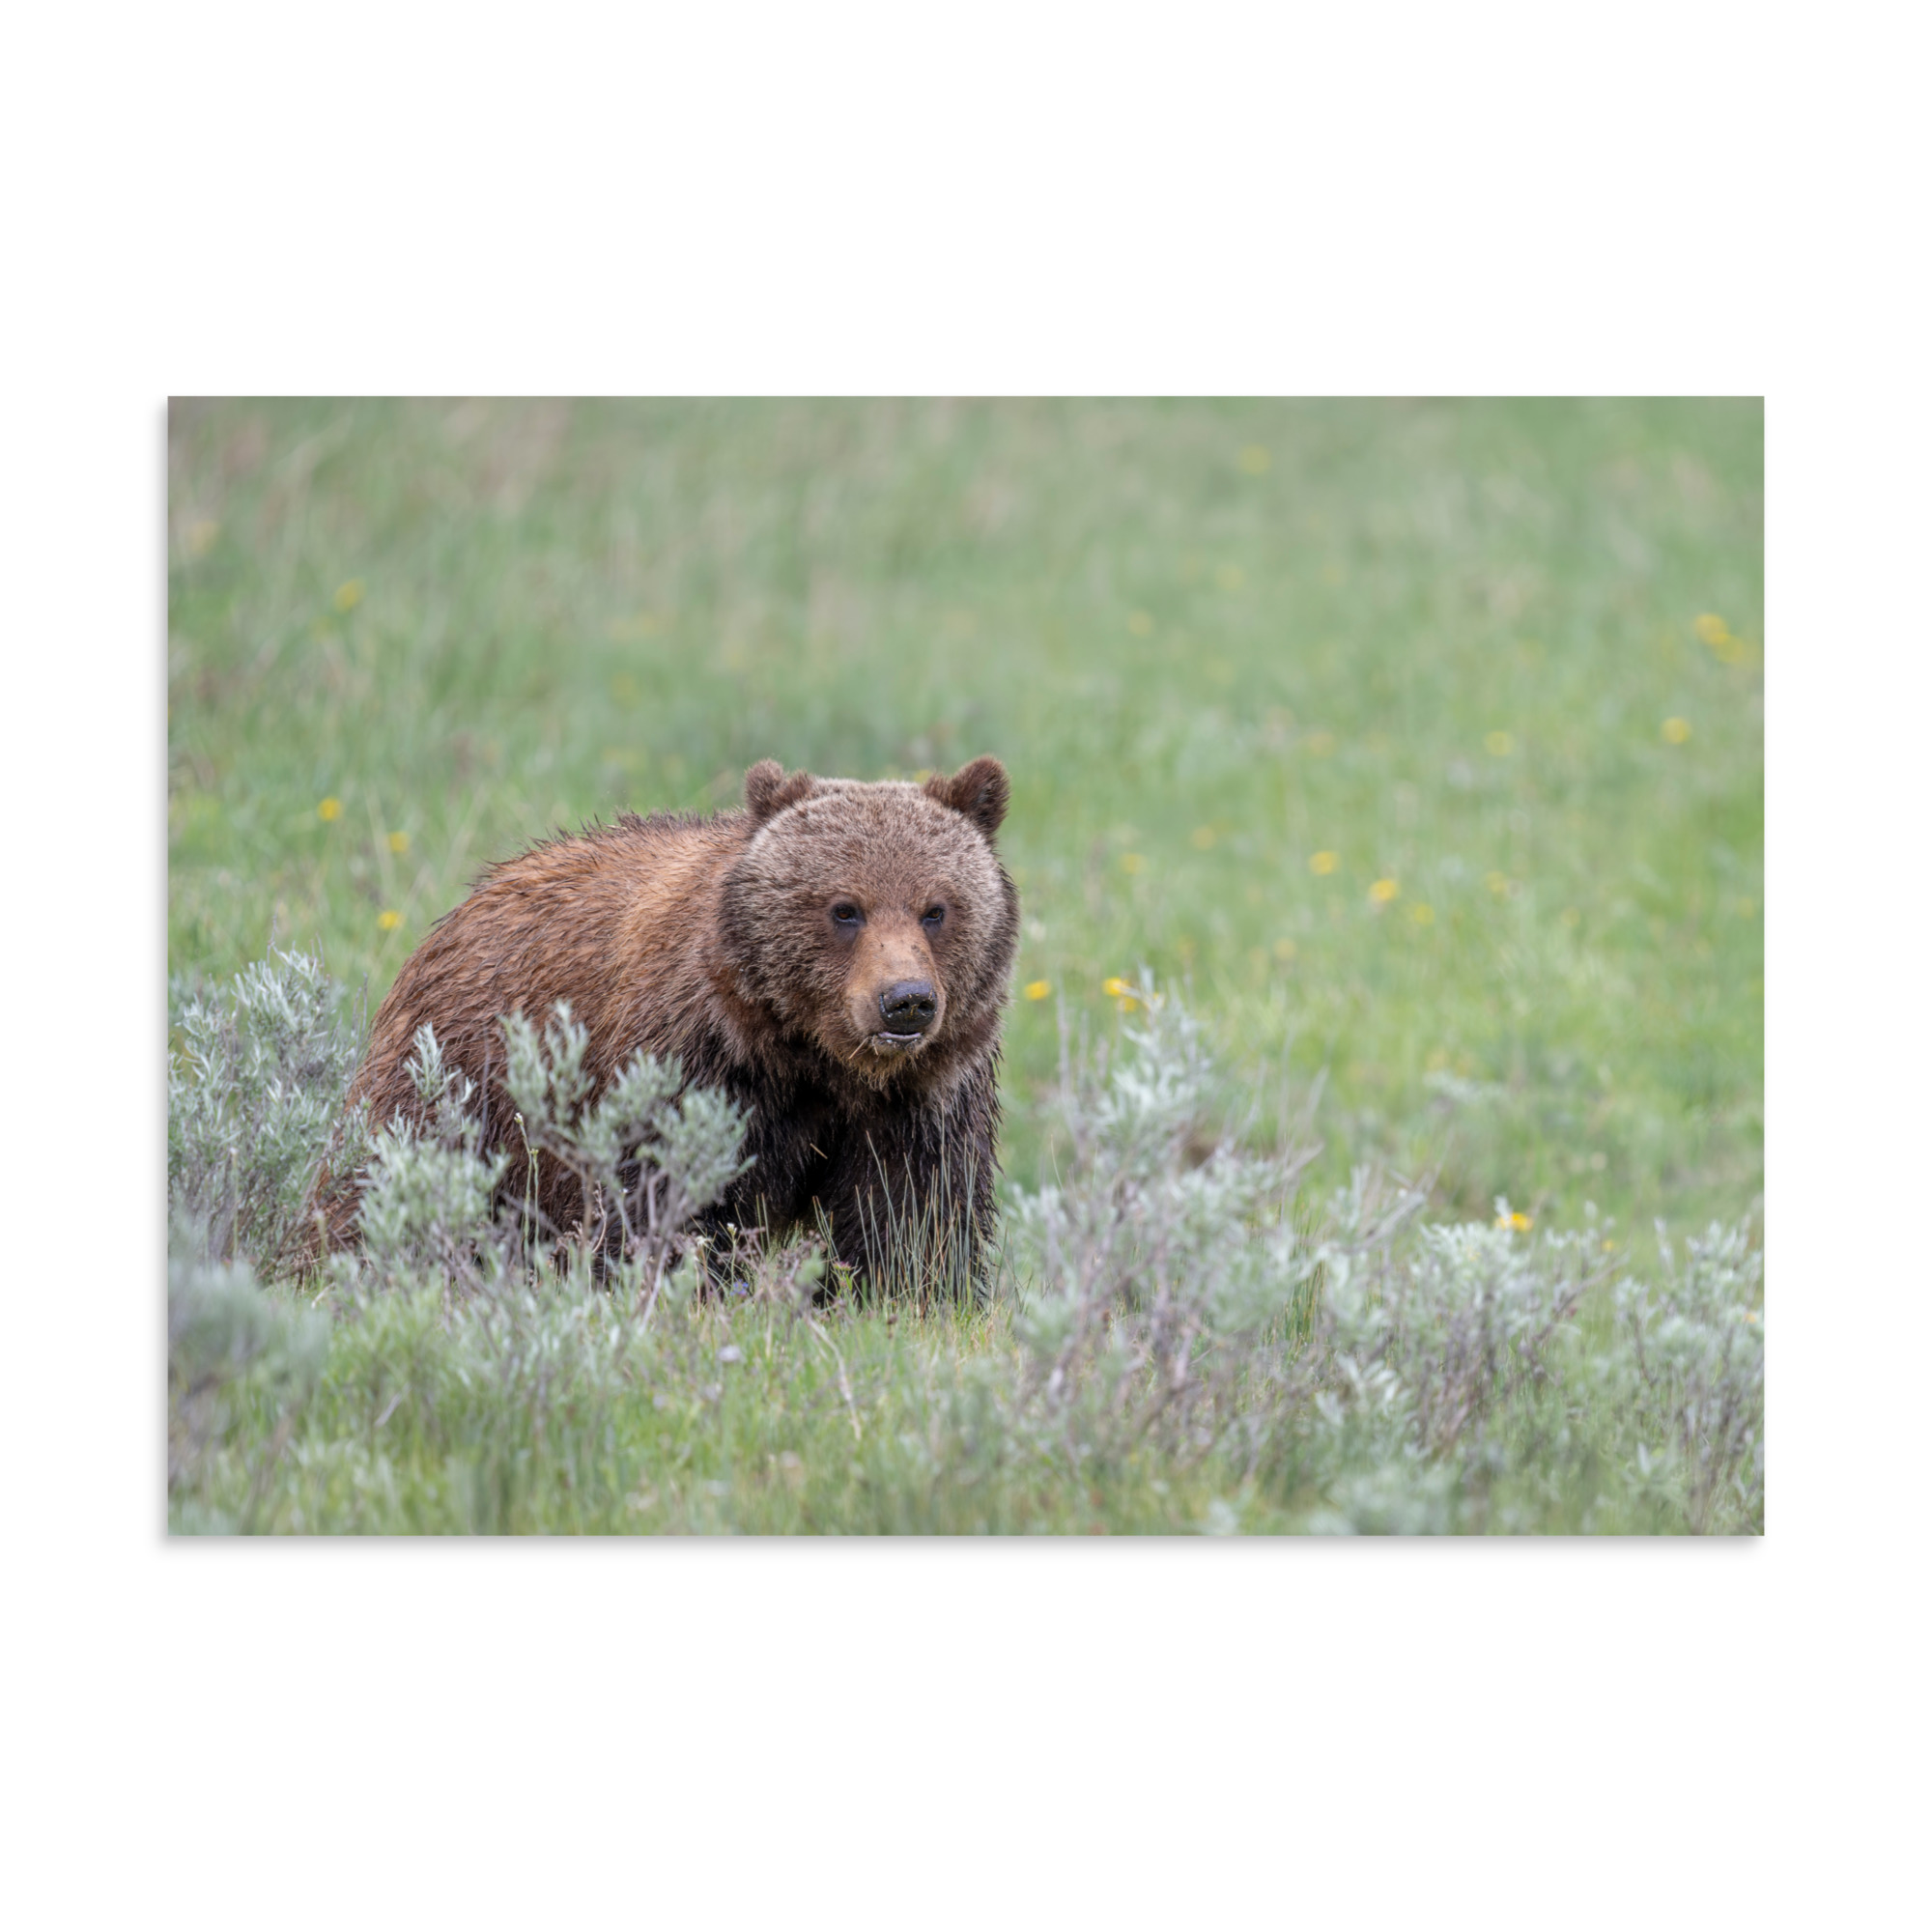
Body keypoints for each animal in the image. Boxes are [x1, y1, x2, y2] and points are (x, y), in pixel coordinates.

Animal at [309, 755, 1019, 1293]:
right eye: (845, 908)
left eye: (936, 909)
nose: (906, 1001)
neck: (814, 1059)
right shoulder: (695, 1065)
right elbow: (660, 1201)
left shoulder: (922, 1099)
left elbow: (911, 1220)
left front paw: (903, 1296)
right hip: (459, 1077)